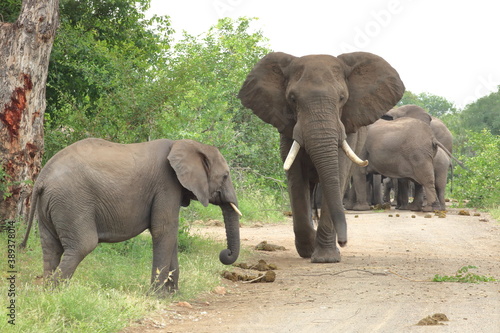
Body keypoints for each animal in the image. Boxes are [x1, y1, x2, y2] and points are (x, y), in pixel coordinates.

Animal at [20, 137, 243, 294]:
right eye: (225, 176)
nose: (225, 253)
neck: (184, 144)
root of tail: (42, 178)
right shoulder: (166, 184)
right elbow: (164, 230)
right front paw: (157, 296)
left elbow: (168, 233)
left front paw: (173, 295)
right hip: (72, 201)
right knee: (82, 245)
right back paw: (58, 294)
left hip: (50, 205)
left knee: (51, 247)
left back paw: (48, 293)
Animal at [236, 51, 404, 262]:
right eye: (292, 99)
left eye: (342, 98)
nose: (343, 242)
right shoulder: (287, 127)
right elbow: (296, 177)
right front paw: (308, 250)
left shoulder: (348, 126)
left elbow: (337, 172)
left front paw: (326, 258)